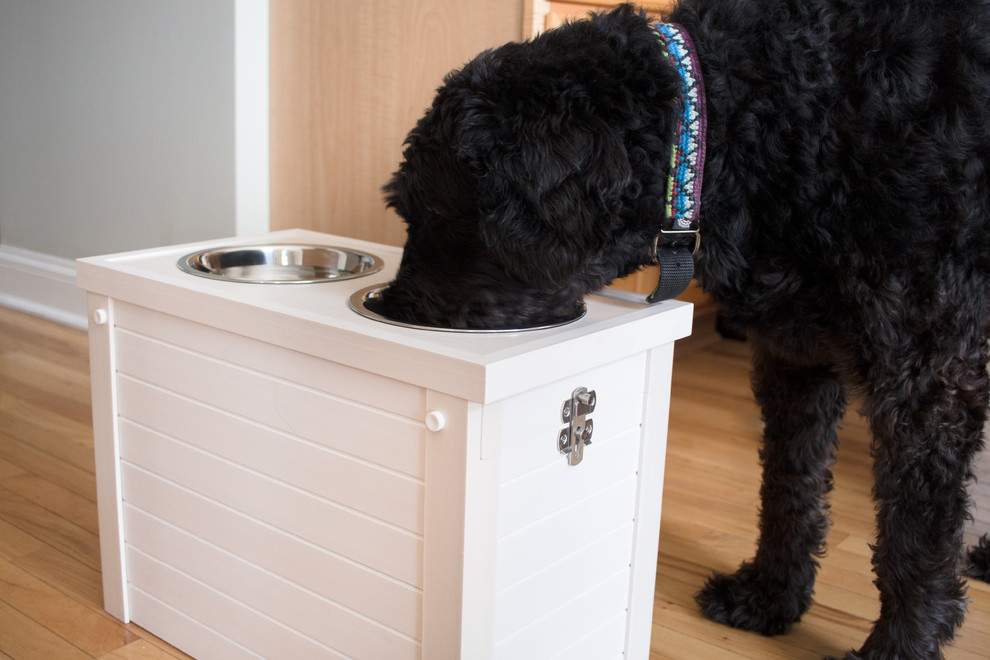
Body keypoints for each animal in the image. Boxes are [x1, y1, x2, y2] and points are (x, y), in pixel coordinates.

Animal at [380, 2, 990, 656]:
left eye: (436, 212)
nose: (394, 307)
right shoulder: (795, 354)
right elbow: (789, 488)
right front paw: (771, 596)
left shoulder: (925, 381)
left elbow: (913, 540)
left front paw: (900, 645)